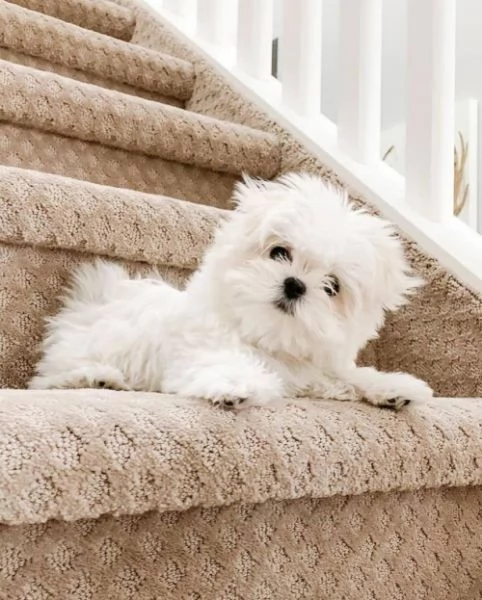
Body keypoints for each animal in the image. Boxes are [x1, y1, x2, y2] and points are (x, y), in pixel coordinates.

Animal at [29, 171, 434, 410]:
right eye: (279, 252)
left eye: (332, 286)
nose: (295, 284)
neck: (264, 336)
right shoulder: (196, 351)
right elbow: (218, 362)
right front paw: (235, 383)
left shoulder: (315, 370)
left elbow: (349, 375)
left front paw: (395, 387)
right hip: (86, 345)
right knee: (46, 377)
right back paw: (97, 378)